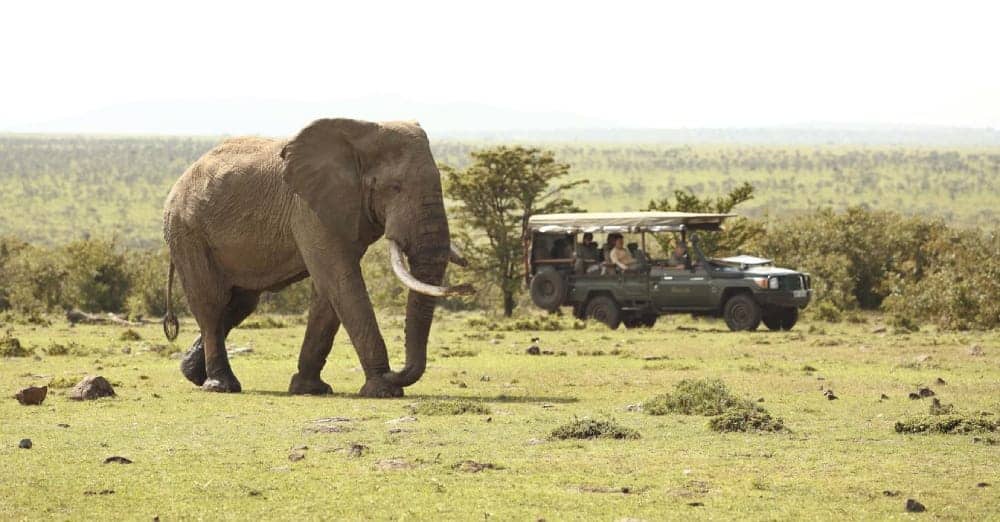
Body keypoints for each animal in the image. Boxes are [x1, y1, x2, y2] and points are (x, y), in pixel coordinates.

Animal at [161, 117, 472, 394]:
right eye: (394, 188)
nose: (466, 286)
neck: (362, 133)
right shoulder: (309, 210)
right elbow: (341, 281)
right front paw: (383, 389)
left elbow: (328, 291)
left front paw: (309, 389)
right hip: (187, 231)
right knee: (211, 303)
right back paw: (221, 385)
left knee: (240, 305)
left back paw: (191, 373)